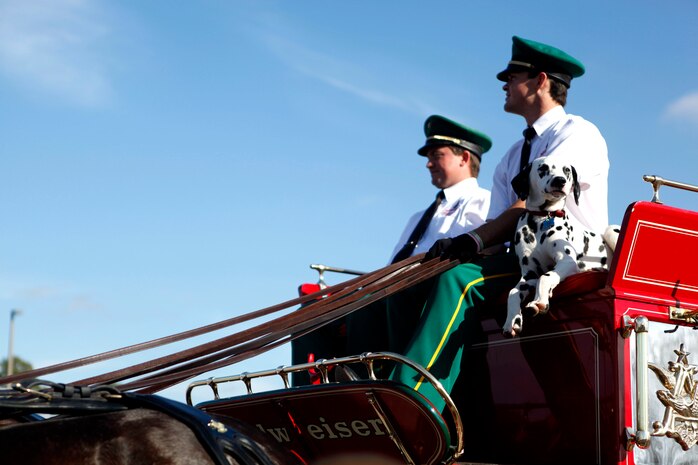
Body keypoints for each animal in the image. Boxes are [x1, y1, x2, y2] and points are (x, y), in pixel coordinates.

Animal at [500, 156, 620, 338]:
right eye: (543, 168)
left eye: (566, 170)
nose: (560, 180)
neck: (542, 220)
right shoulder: (529, 275)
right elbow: (512, 293)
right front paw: (512, 320)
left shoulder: (567, 261)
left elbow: (546, 277)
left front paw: (539, 301)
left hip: (611, 230)